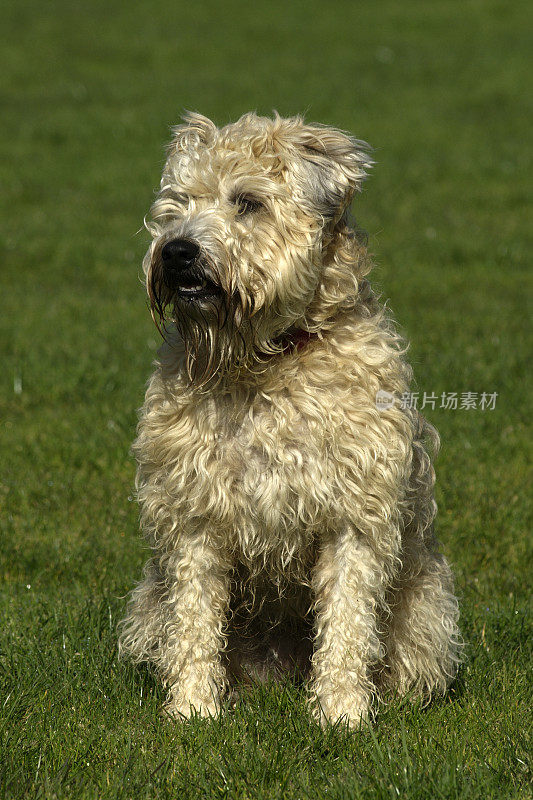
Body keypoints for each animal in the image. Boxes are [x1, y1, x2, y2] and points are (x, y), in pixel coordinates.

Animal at [118, 112, 460, 732]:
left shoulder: (354, 516)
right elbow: (195, 621)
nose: (177, 251)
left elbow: (348, 622)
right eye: (177, 203)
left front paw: (342, 714)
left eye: (248, 202)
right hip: (150, 602)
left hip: (426, 609)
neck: (267, 361)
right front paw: (193, 708)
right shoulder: (195, 513)